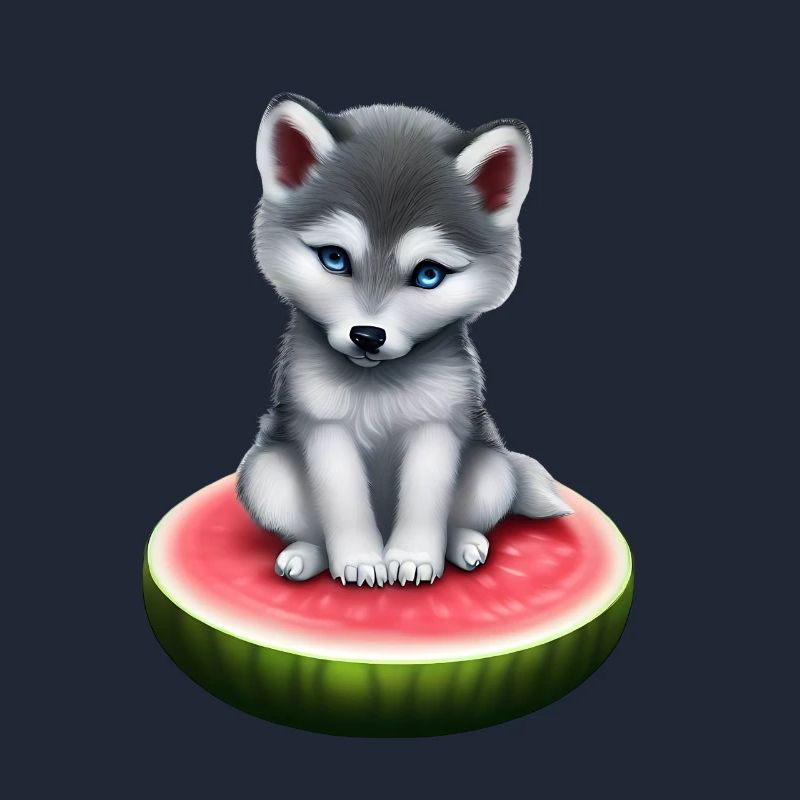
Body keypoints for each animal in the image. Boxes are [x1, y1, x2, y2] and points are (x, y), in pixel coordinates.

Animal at [236, 93, 573, 588]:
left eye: (429, 274)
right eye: (334, 258)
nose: (367, 336)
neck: (377, 385)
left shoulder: (436, 425)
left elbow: (425, 498)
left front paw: (412, 557)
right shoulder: (324, 426)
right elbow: (342, 501)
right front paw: (359, 559)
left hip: (493, 469)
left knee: (464, 516)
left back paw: (465, 545)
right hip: (265, 474)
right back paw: (306, 555)